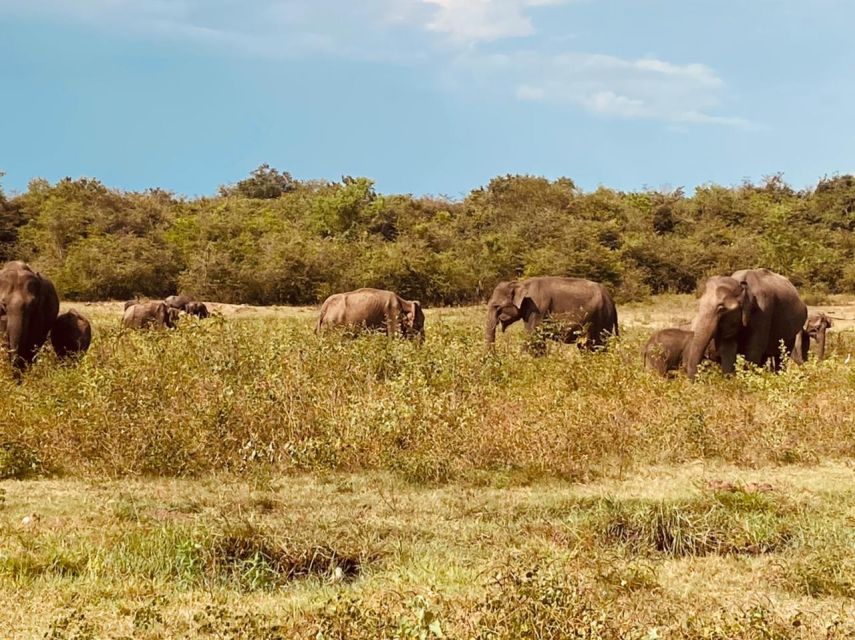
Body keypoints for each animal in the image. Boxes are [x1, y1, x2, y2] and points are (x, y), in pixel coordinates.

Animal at [484, 278, 620, 352]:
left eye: (496, 306)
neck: (522, 283)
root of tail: (612, 300)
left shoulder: (537, 308)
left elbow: (531, 335)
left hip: (603, 318)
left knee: (599, 344)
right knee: (585, 345)